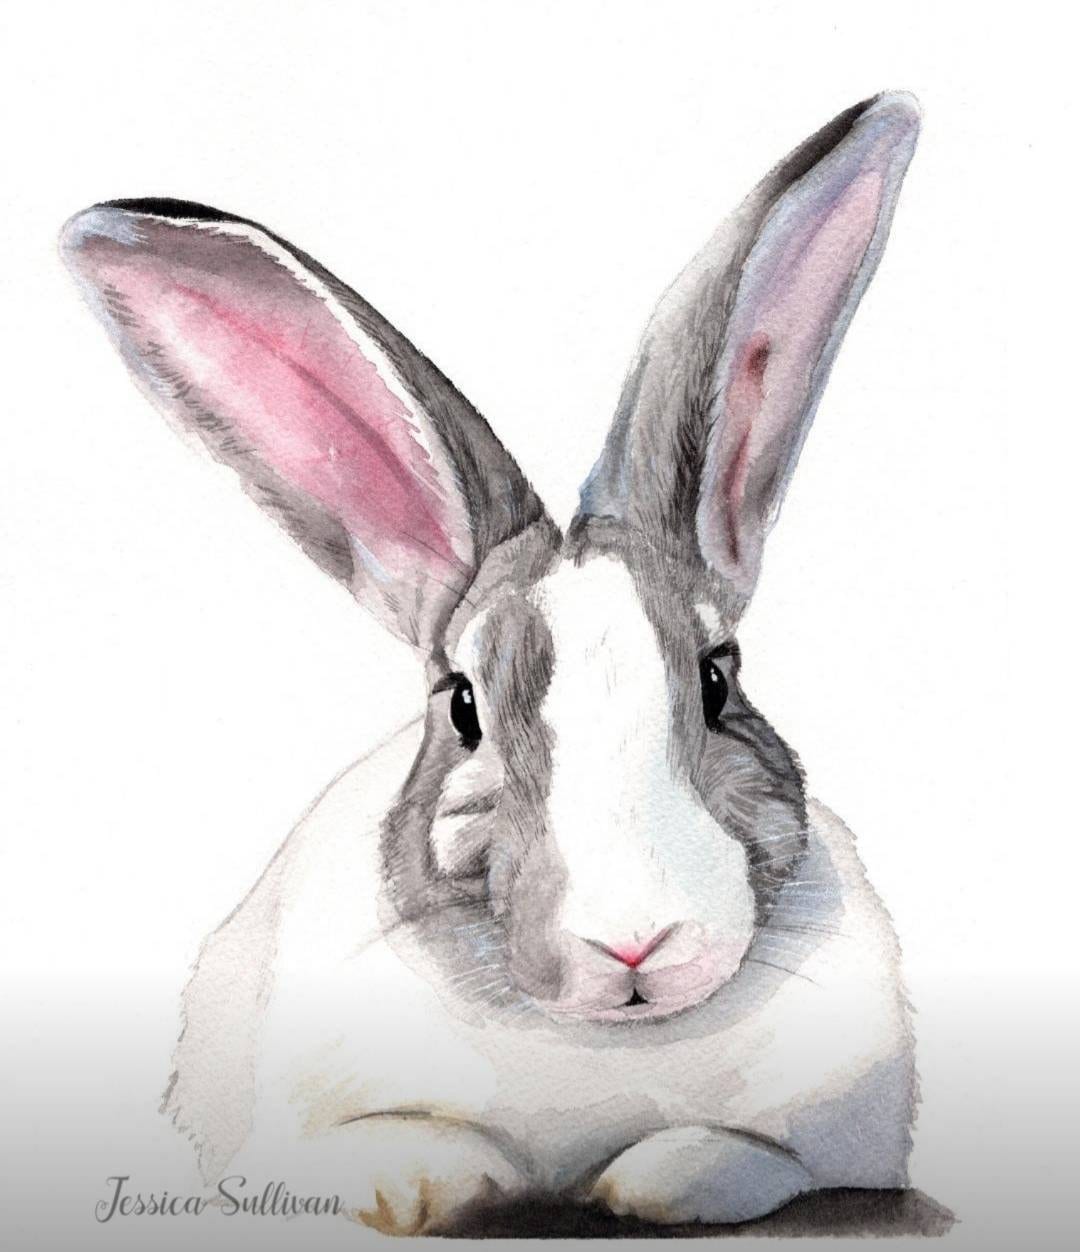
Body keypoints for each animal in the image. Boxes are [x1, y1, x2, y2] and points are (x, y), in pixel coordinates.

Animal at [62, 91, 921, 1235]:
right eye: (462, 704)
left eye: (718, 678)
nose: (635, 943)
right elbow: (381, 1149)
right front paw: (431, 1182)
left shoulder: (838, 1138)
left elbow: (736, 1155)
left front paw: (656, 1180)